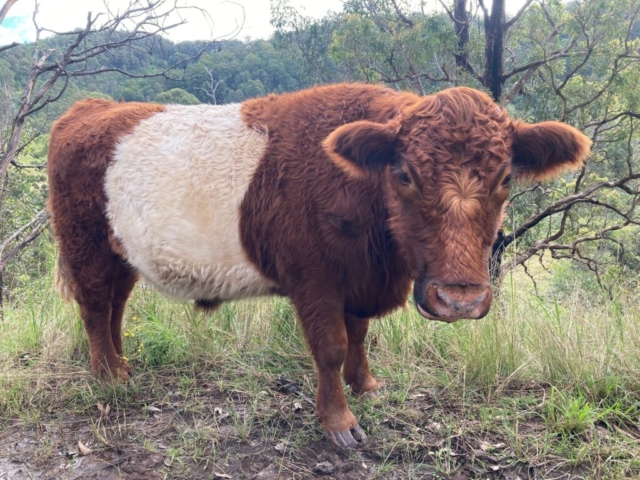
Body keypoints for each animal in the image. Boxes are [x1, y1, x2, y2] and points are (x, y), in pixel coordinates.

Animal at [48, 82, 592, 446]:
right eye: (405, 174)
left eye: (505, 177)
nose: (459, 299)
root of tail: (92, 107)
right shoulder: (315, 280)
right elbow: (331, 346)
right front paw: (340, 423)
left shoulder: (358, 280)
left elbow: (360, 334)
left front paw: (365, 385)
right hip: (85, 244)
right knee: (94, 306)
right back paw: (108, 375)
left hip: (122, 253)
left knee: (115, 305)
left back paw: (122, 364)